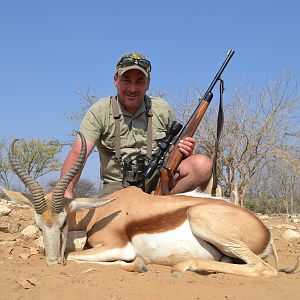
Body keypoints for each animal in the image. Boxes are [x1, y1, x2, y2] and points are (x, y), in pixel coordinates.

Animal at [2, 133, 298, 276]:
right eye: (38, 225)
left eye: (64, 223)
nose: (52, 262)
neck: (103, 211)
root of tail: (266, 232)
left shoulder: (118, 246)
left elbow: (74, 256)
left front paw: (139, 265)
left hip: (204, 222)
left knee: (264, 270)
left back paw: (184, 267)